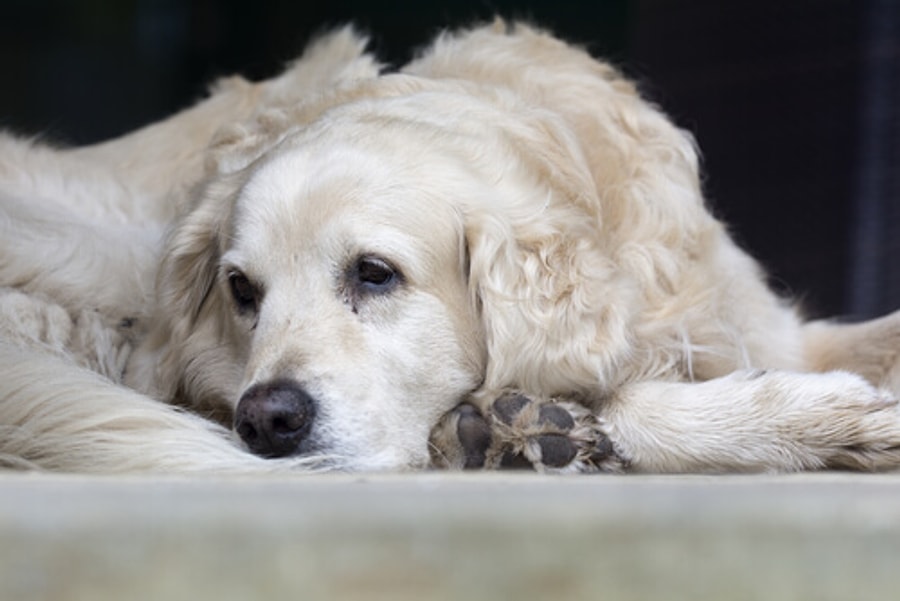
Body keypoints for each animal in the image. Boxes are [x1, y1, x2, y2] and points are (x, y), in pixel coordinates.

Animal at [1, 21, 900, 474]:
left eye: (374, 274)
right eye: (242, 292)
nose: (267, 420)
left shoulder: (755, 321)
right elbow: (627, 398)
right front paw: (826, 421)